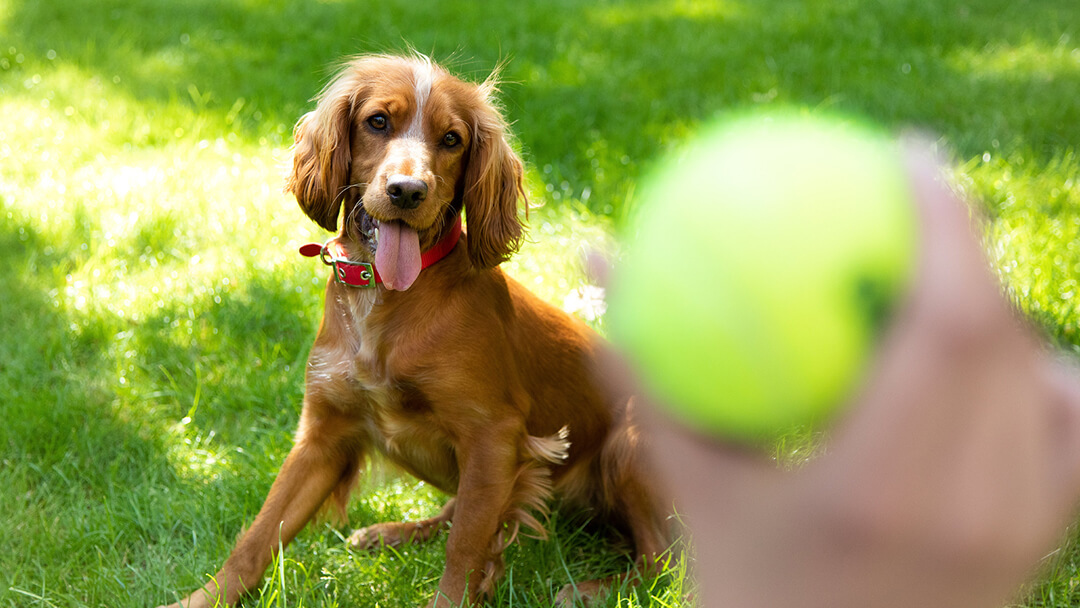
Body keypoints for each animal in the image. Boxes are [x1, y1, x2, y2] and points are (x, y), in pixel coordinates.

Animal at [162, 54, 665, 604]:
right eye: (378, 121)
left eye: (452, 139)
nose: (407, 191)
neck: (388, 297)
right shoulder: (322, 435)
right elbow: (256, 536)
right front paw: (199, 599)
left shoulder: (493, 434)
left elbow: (465, 547)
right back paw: (395, 532)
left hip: (631, 444)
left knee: (661, 560)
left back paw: (590, 589)